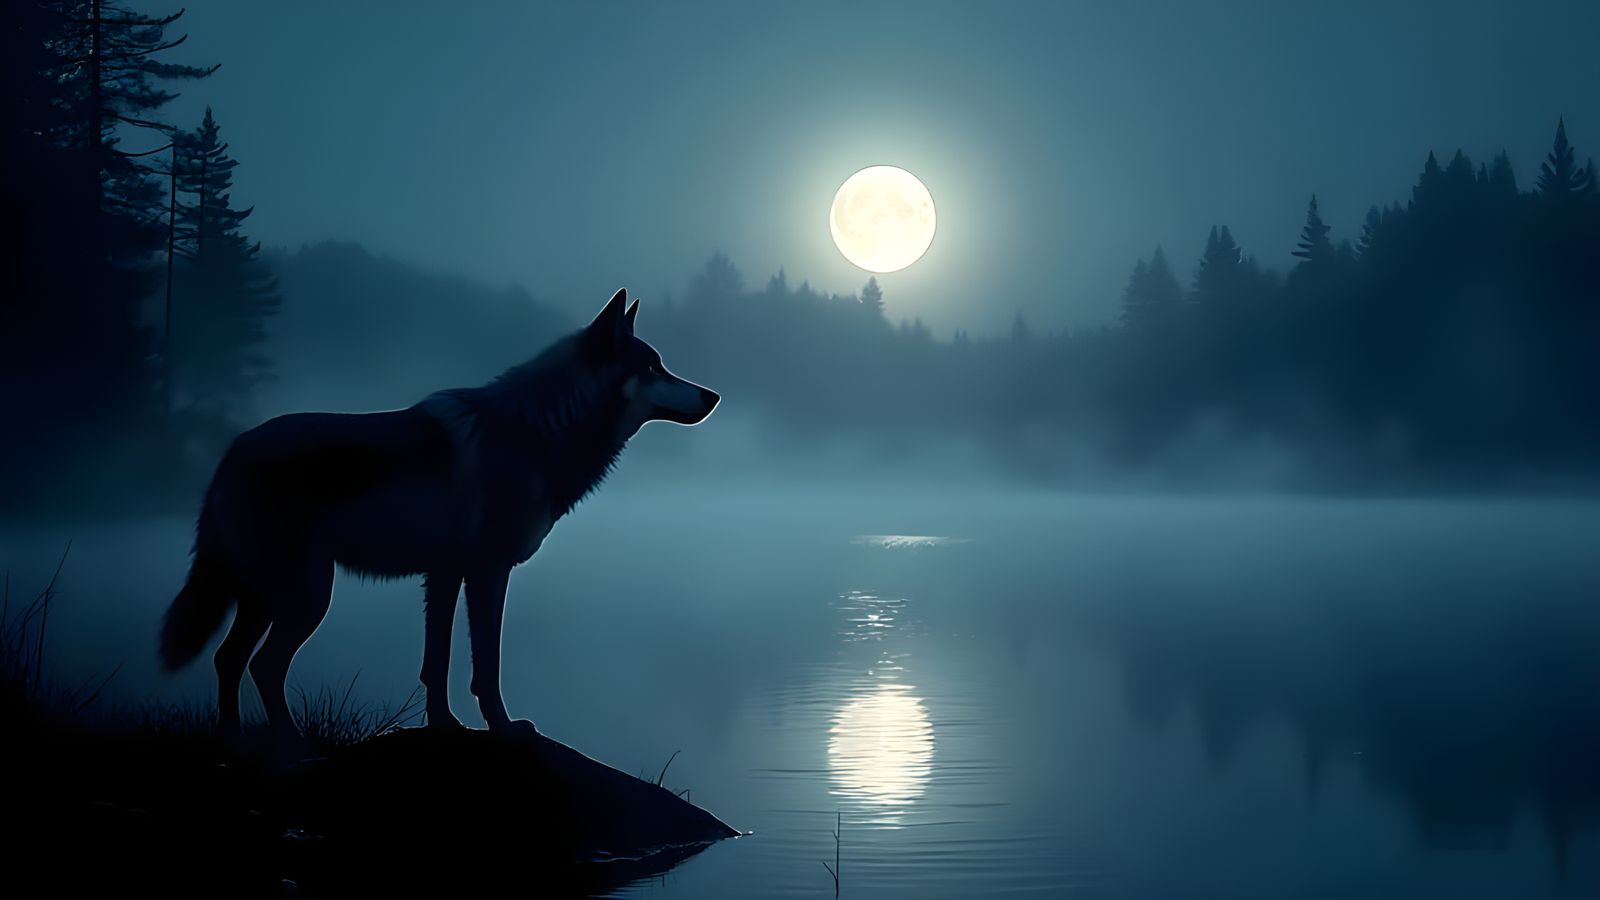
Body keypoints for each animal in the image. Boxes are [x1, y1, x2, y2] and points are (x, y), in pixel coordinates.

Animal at [157, 288, 718, 737]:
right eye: (654, 367)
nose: (713, 395)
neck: (538, 427)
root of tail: (230, 452)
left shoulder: (445, 574)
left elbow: (437, 662)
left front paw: (446, 726)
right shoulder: (489, 572)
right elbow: (486, 666)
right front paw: (503, 727)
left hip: (263, 598)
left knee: (228, 660)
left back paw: (232, 737)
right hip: (309, 596)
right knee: (264, 667)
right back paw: (291, 742)